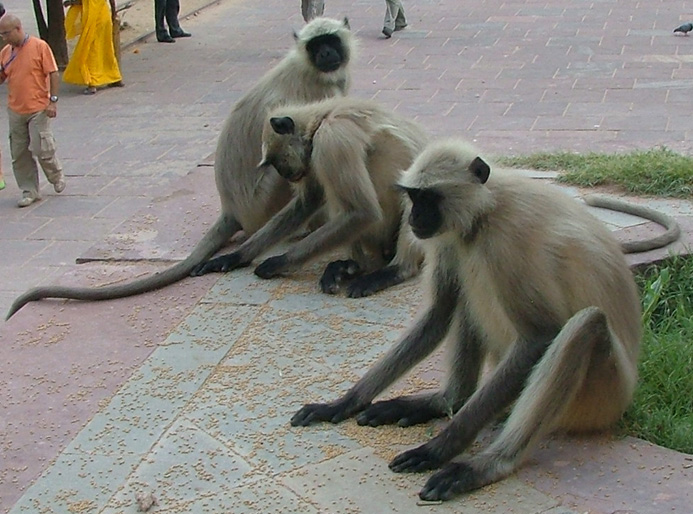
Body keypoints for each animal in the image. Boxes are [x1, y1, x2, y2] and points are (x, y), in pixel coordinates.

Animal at [8, 18, 356, 318]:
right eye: (316, 45)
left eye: (331, 41)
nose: (326, 54)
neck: (309, 69)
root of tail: (231, 209)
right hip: (265, 199)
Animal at [189, 96, 428, 296]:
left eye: (278, 161)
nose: (284, 175)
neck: (321, 118)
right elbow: (310, 200)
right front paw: (236, 257)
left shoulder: (332, 139)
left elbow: (363, 212)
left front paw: (279, 262)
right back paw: (353, 267)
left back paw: (396, 269)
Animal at [292, 139, 644, 500]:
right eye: (414, 197)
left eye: (429, 198)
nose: (413, 217)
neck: (486, 208)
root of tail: (625, 398)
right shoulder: (452, 236)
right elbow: (439, 313)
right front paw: (345, 402)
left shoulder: (504, 239)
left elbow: (540, 336)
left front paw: (441, 448)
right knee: (467, 294)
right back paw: (446, 401)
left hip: (601, 395)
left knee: (586, 324)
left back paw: (487, 465)